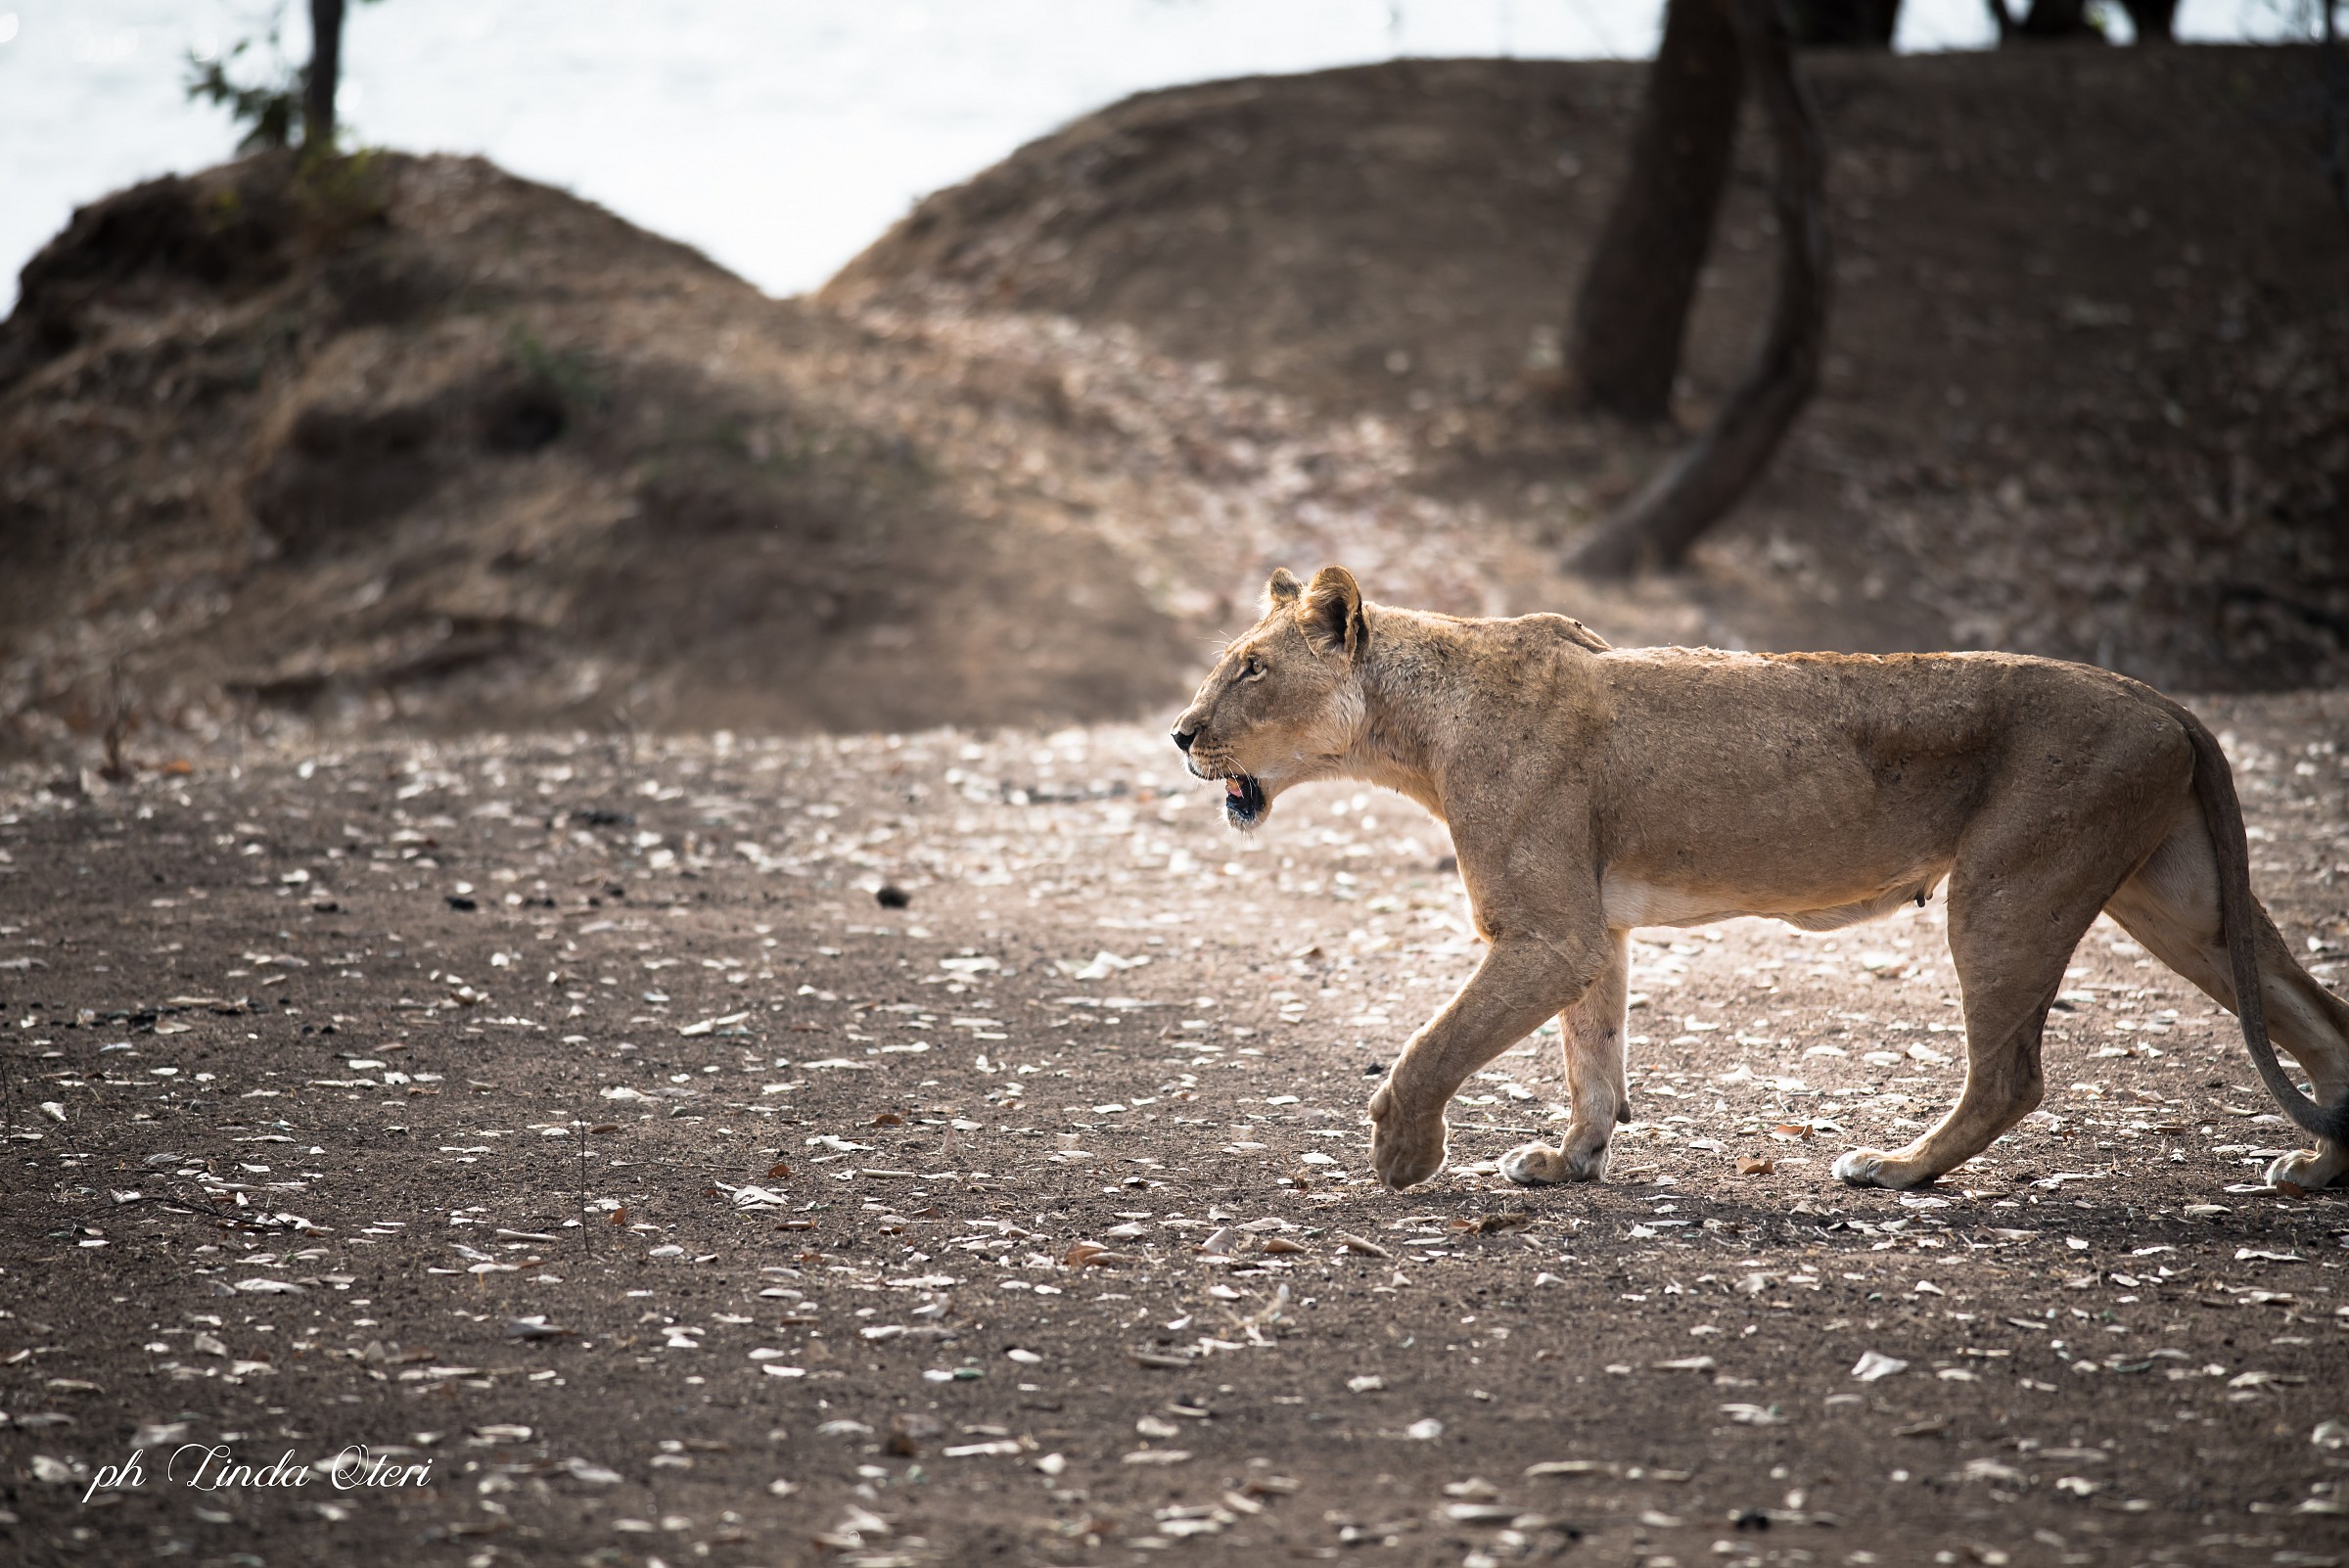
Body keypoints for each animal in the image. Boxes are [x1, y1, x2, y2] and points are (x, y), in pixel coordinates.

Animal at [1170, 565, 2349, 1193]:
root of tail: (2164, 699)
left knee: (2011, 1078)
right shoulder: (1590, 934)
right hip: (2180, 900)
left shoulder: (1545, 932)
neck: (1416, 727)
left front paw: (1403, 1154)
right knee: (2318, 1015)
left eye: (1252, 669)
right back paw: (2317, 1169)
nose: (1179, 732)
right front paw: (1569, 1162)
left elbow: (1433, 1045)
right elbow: (1593, 1056)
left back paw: (1894, 1170)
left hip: (2011, 889)